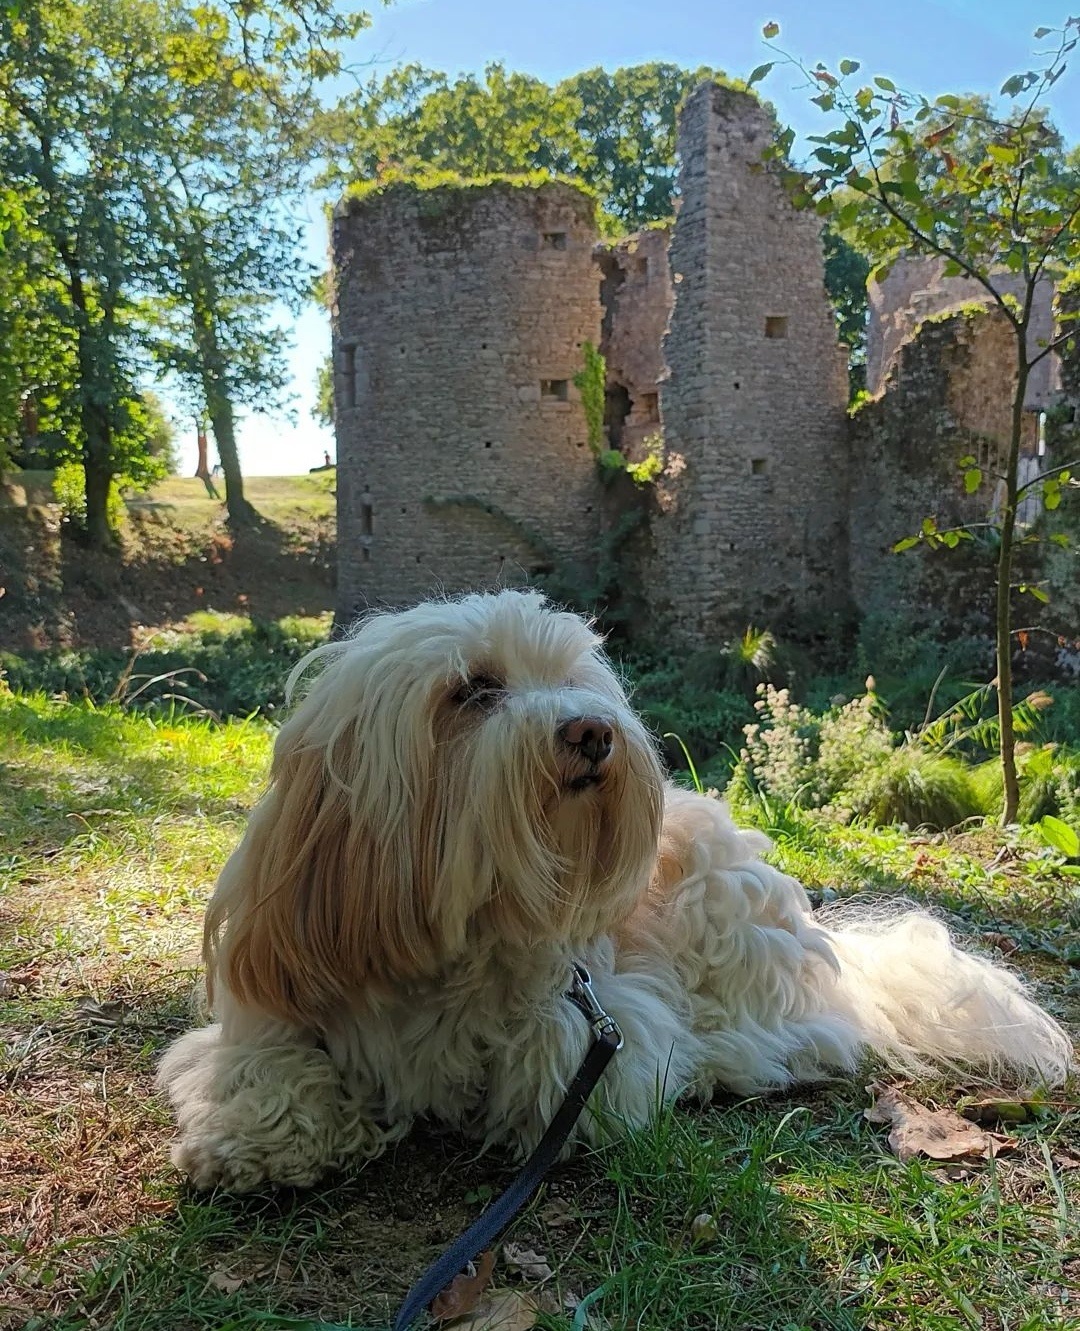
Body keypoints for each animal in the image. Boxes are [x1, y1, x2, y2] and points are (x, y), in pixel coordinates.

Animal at [158, 588, 1070, 1192]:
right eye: (473, 690)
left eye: (577, 679)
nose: (592, 730)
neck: (463, 931)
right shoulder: (288, 987)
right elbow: (260, 1068)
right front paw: (252, 1139)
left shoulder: (600, 1005)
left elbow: (560, 1060)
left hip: (727, 919)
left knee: (811, 1037)